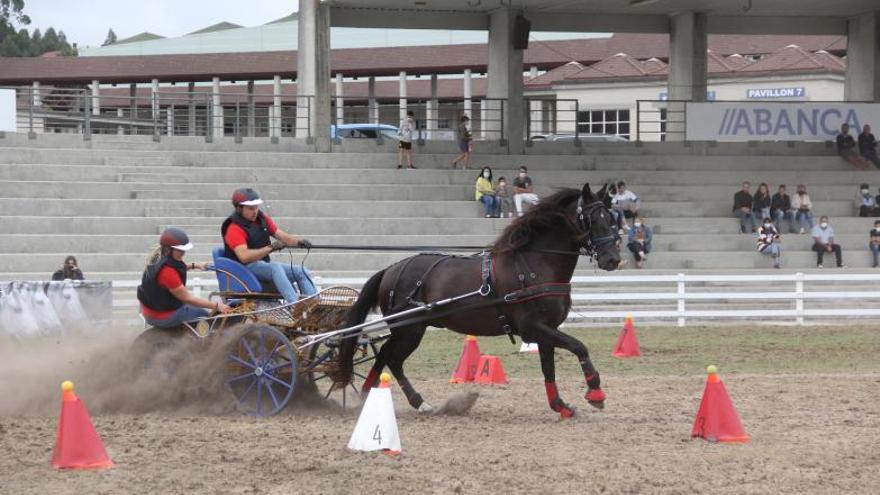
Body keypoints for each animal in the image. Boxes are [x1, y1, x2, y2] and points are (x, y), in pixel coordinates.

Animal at [336, 184, 620, 416]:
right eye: (592, 219)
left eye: (612, 217)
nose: (613, 259)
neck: (534, 264)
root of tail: (392, 268)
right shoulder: (534, 328)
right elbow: (579, 346)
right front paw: (595, 393)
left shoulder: (546, 331)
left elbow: (548, 368)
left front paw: (560, 405)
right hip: (409, 329)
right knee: (390, 358)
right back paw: (403, 400)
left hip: (409, 329)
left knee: (386, 356)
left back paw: (385, 398)